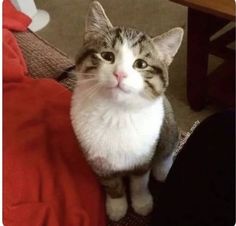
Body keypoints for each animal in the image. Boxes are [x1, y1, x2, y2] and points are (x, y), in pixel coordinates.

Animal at [71, 0, 183, 222]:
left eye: (141, 64)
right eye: (107, 56)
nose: (120, 74)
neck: (116, 113)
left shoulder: (143, 157)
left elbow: (140, 182)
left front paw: (142, 202)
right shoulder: (98, 161)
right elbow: (111, 184)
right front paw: (117, 205)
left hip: (168, 122)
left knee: (168, 146)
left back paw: (163, 168)